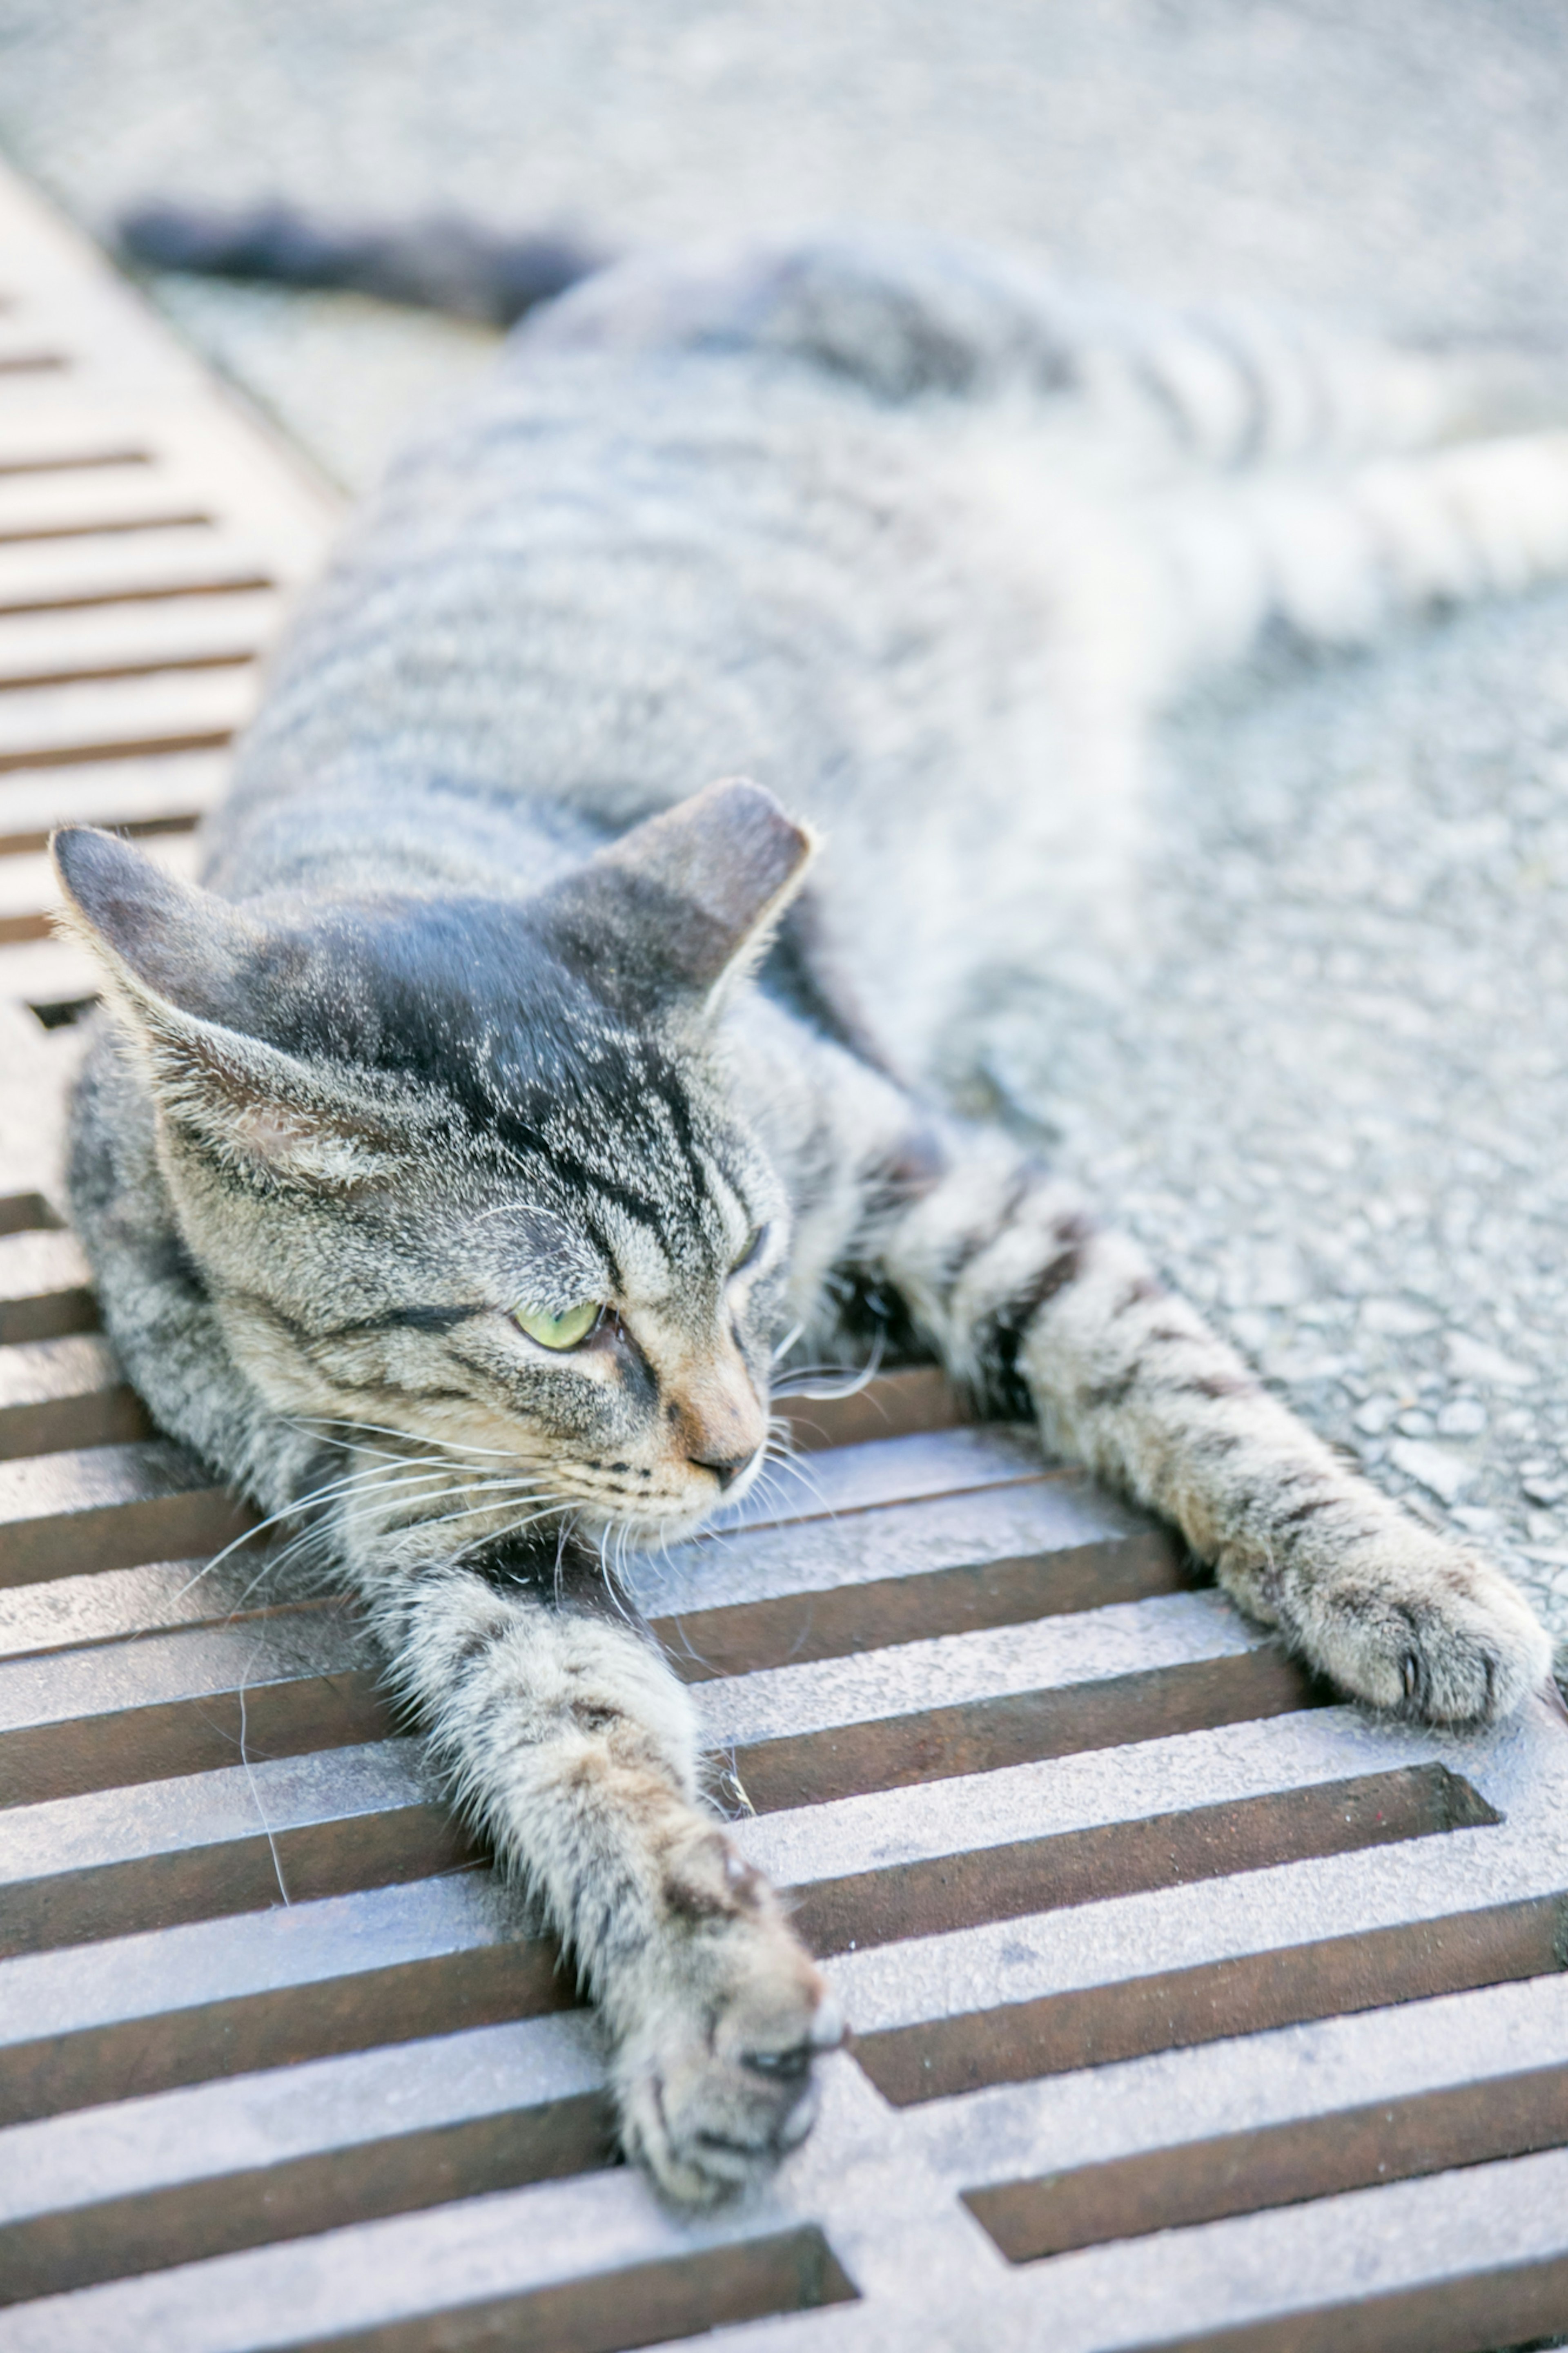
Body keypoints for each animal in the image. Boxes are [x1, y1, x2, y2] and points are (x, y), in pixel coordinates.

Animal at [55, 225, 1561, 2202]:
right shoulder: (444, 1529)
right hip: (1258, 569)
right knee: (1378, 525)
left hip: (1176, 373)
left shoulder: (954, 1177)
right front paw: (700, 1984)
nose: (735, 1449)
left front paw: (1390, 1571)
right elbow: (578, 1742)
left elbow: (1190, 1396)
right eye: (564, 1324)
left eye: (752, 1258)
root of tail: (652, 261)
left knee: (1416, 366)